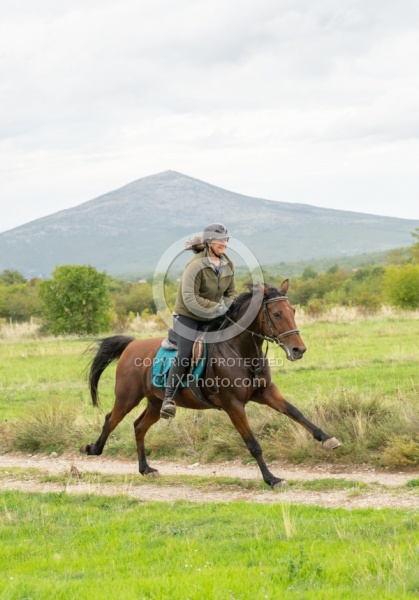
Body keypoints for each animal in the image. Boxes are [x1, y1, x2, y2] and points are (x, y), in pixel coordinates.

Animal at [81, 282, 342, 488]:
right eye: (277, 314)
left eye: (293, 311)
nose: (299, 349)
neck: (241, 351)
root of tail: (131, 345)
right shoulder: (233, 405)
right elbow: (253, 444)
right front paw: (272, 479)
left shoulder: (266, 392)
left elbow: (296, 412)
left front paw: (328, 439)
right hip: (127, 398)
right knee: (111, 419)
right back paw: (94, 449)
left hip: (155, 402)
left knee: (138, 426)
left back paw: (145, 469)